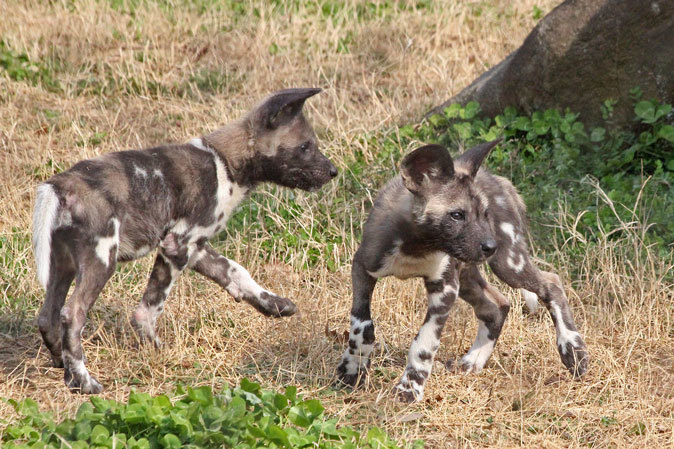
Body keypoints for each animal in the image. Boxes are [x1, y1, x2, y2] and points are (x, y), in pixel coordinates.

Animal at [32, 87, 336, 392]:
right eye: (306, 146)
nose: (334, 171)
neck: (226, 163)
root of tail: (61, 184)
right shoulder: (177, 245)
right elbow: (149, 309)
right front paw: (154, 348)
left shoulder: (196, 246)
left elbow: (235, 271)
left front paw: (273, 304)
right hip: (102, 260)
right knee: (72, 315)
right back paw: (83, 381)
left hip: (63, 264)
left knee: (48, 316)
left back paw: (62, 363)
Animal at [336, 140, 588, 400]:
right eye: (457, 215)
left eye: (485, 214)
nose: (491, 246)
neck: (418, 245)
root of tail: (499, 180)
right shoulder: (363, 269)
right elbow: (362, 324)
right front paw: (353, 369)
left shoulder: (445, 289)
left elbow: (424, 344)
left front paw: (409, 388)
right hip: (469, 275)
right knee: (497, 306)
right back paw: (473, 361)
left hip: (508, 265)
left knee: (551, 284)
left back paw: (572, 350)